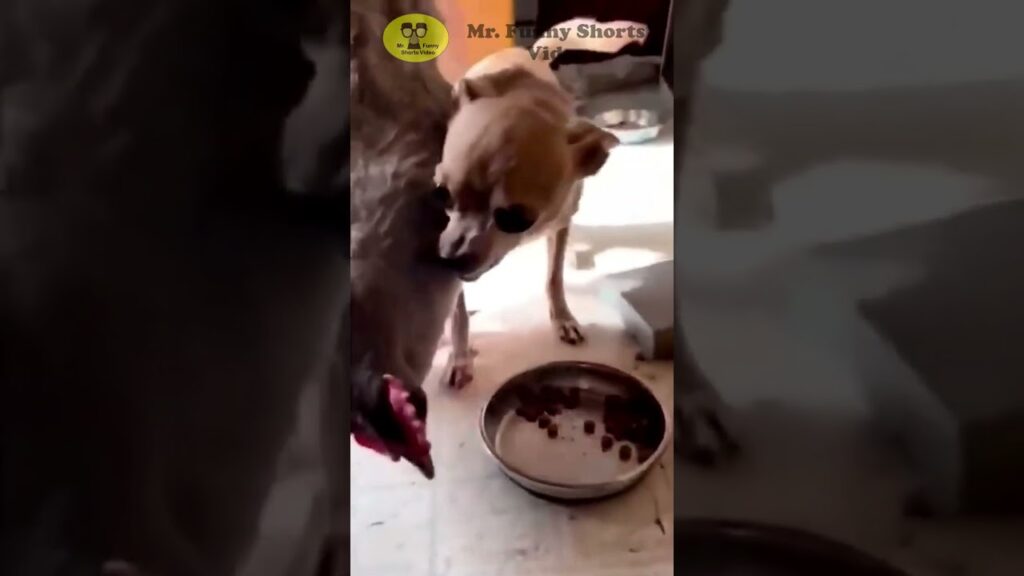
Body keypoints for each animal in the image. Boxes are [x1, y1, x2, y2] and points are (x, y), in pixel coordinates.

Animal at [432, 17, 647, 385]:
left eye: (515, 218)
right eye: (441, 194)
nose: (449, 259)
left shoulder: (560, 224)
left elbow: (553, 277)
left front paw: (563, 318)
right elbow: (457, 311)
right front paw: (459, 357)